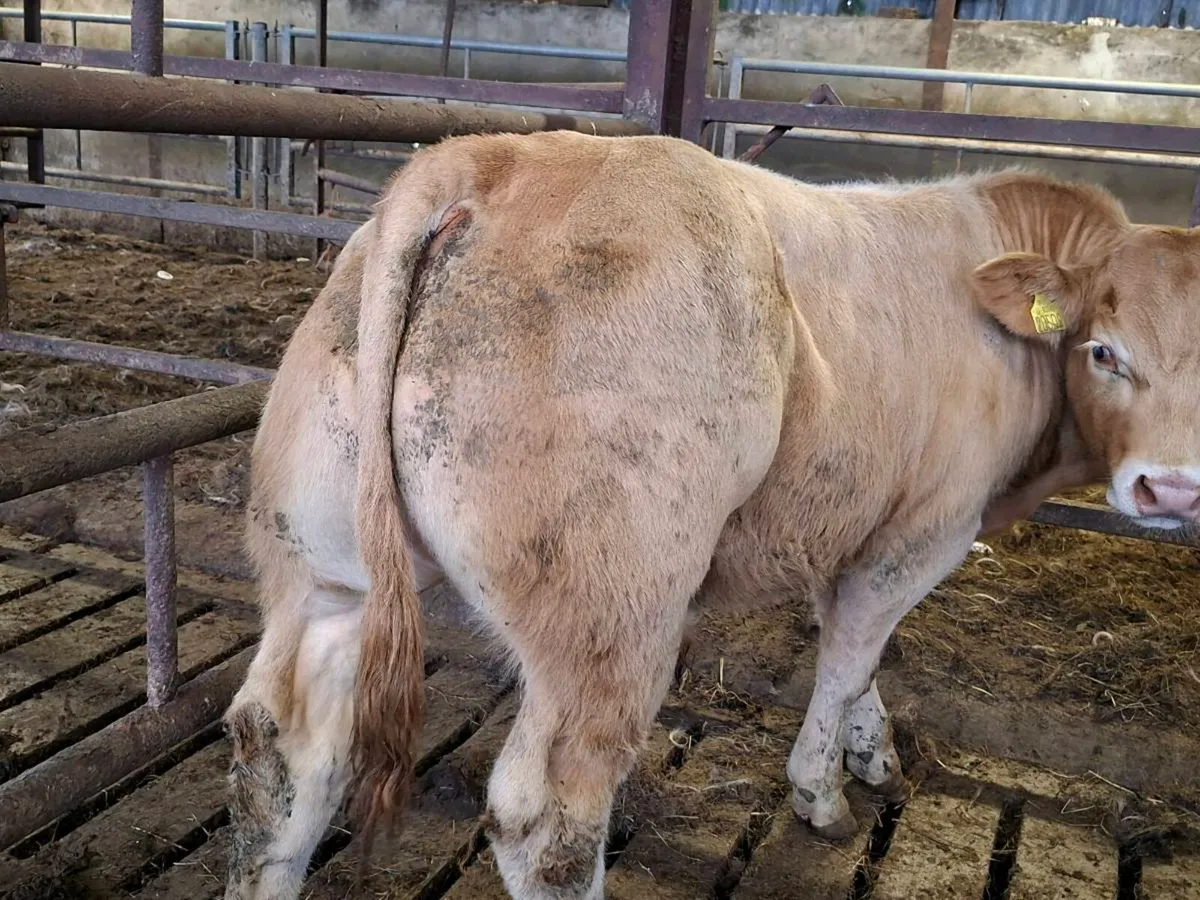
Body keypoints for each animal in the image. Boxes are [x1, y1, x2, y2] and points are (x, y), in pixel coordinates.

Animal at [222, 130, 1200, 900]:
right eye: (1104, 351)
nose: (1173, 489)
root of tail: (484, 160)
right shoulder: (922, 532)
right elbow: (851, 653)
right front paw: (822, 791)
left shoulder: (842, 526)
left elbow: (855, 655)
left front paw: (873, 751)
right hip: (612, 617)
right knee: (550, 824)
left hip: (324, 570)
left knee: (281, 753)